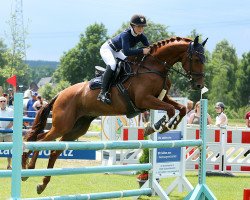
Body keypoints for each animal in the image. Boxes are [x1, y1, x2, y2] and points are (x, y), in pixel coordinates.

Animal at [22, 35, 208, 194]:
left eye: (204, 60)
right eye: (196, 59)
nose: (199, 86)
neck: (154, 67)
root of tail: (60, 93)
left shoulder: (162, 97)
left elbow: (180, 108)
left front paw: (168, 125)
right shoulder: (144, 100)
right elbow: (169, 110)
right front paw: (157, 126)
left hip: (77, 128)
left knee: (53, 150)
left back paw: (42, 184)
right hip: (63, 125)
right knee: (40, 141)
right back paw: (27, 169)